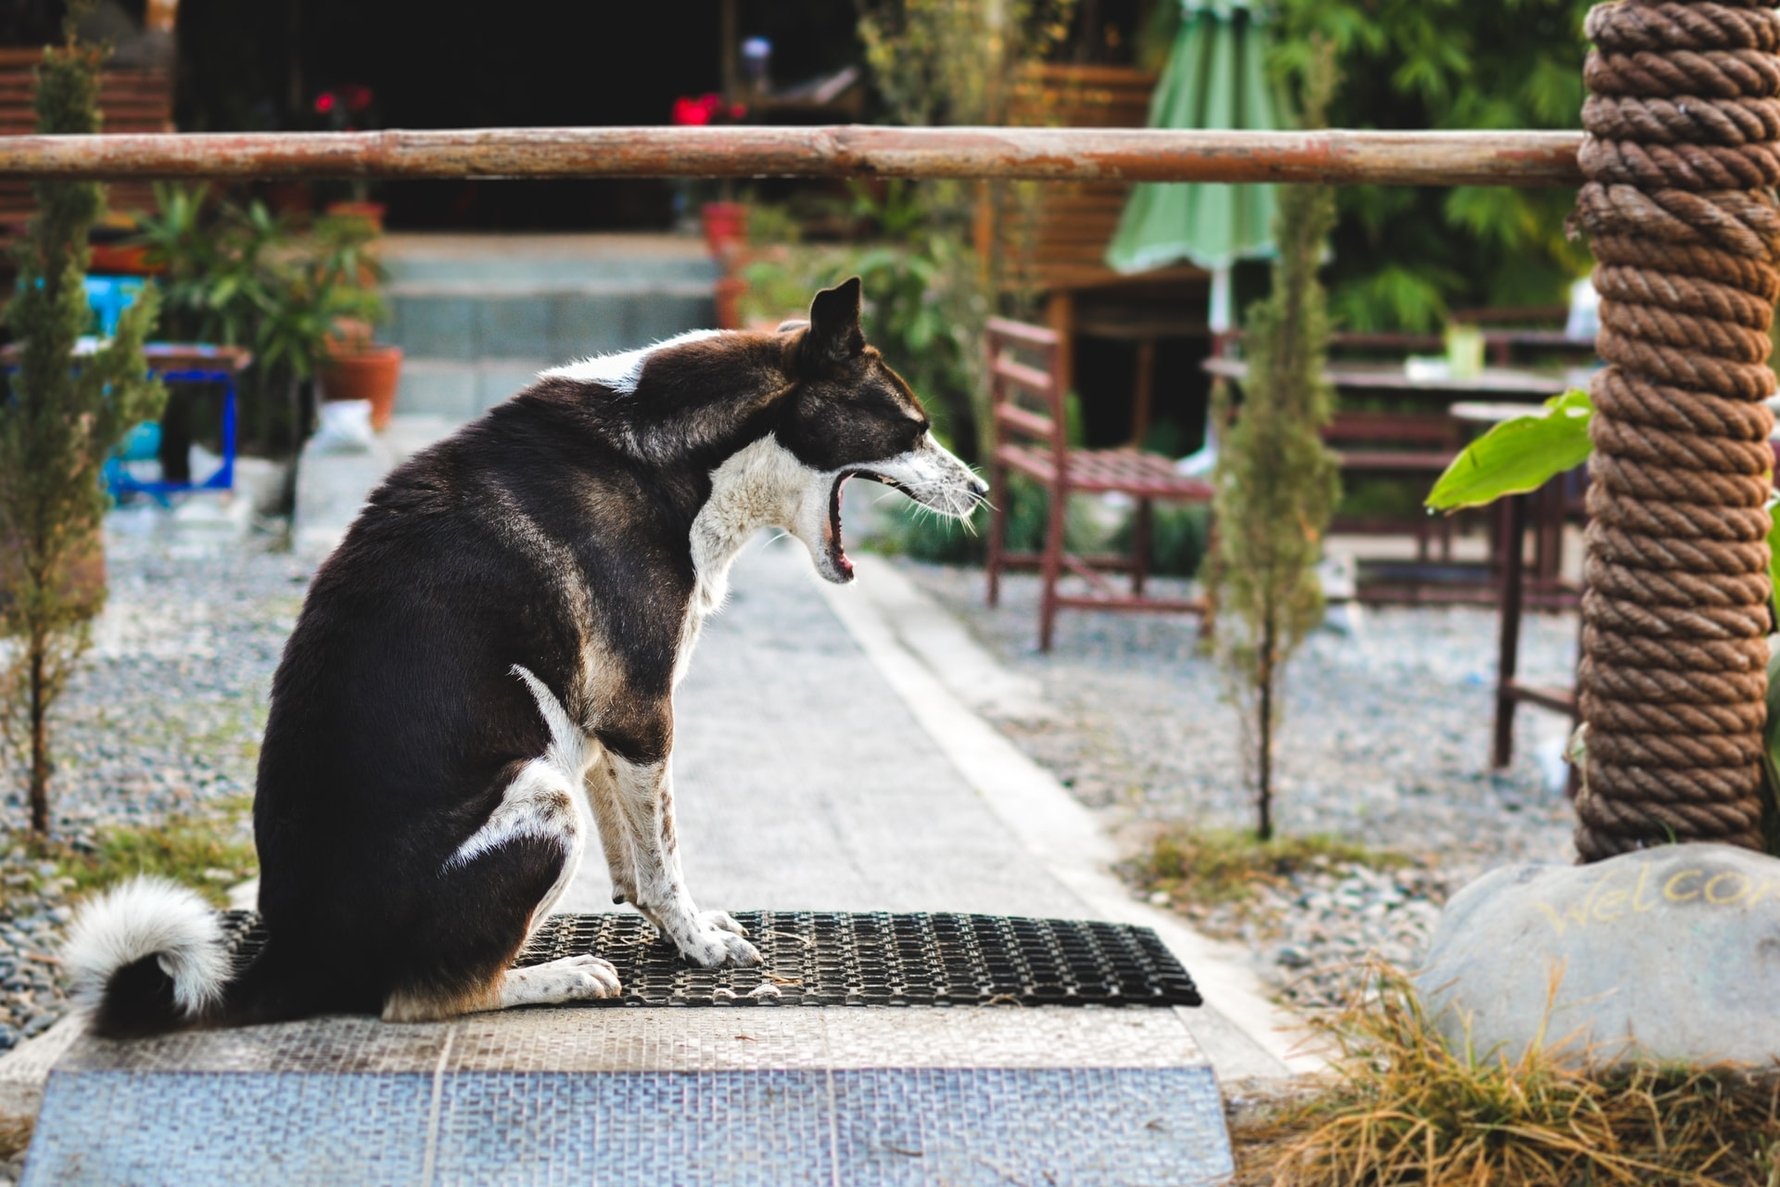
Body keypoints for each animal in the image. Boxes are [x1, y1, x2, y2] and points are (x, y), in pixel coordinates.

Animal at [69, 279, 989, 1032]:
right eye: (914, 429)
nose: (982, 491)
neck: (680, 454)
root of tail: (295, 960)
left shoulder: (604, 724)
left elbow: (637, 858)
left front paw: (681, 931)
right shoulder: (643, 713)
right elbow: (666, 855)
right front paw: (700, 946)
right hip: (542, 794)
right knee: (427, 994)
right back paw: (567, 975)